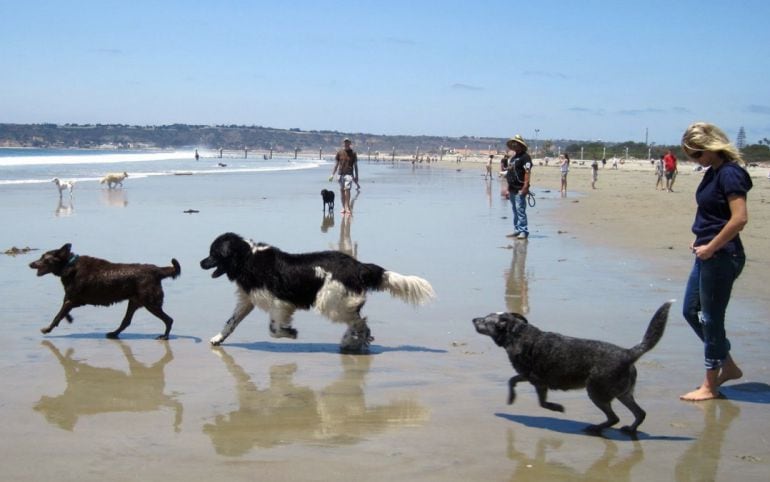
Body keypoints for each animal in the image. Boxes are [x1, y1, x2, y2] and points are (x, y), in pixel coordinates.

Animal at [28, 241, 182, 338]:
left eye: (44, 258)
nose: (30, 264)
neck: (69, 266)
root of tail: (157, 270)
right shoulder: (73, 300)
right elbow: (63, 312)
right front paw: (69, 319)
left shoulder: (72, 299)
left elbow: (58, 315)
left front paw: (47, 329)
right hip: (135, 302)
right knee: (126, 321)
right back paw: (113, 334)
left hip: (151, 303)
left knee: (169, 320)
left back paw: (165, 337)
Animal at [201, 232, 436, 352]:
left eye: (213, 253)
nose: (200, 262)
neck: (248, 258)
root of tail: (358, 266)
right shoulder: (248, 299)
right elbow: (231, 322)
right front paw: (217, 339)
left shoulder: (280, 303)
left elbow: (274, 329)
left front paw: (290, 333)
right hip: (339, 301)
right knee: (358, 320)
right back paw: (353, 341)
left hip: (330, 301)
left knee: (359, 321)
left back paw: (352, 341)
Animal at [472, 302, 668, 434]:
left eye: (485, 320)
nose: (473, 318)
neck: (517, 333)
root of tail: (628, 353)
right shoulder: (533, 378)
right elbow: (514, 381)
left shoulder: (535, 379)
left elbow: (532, 395)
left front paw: (555, 407)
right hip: (623, 393)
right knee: (640, 413)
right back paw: (630, 429)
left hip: (596, 392)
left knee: (614, 417)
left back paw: (595, 428)